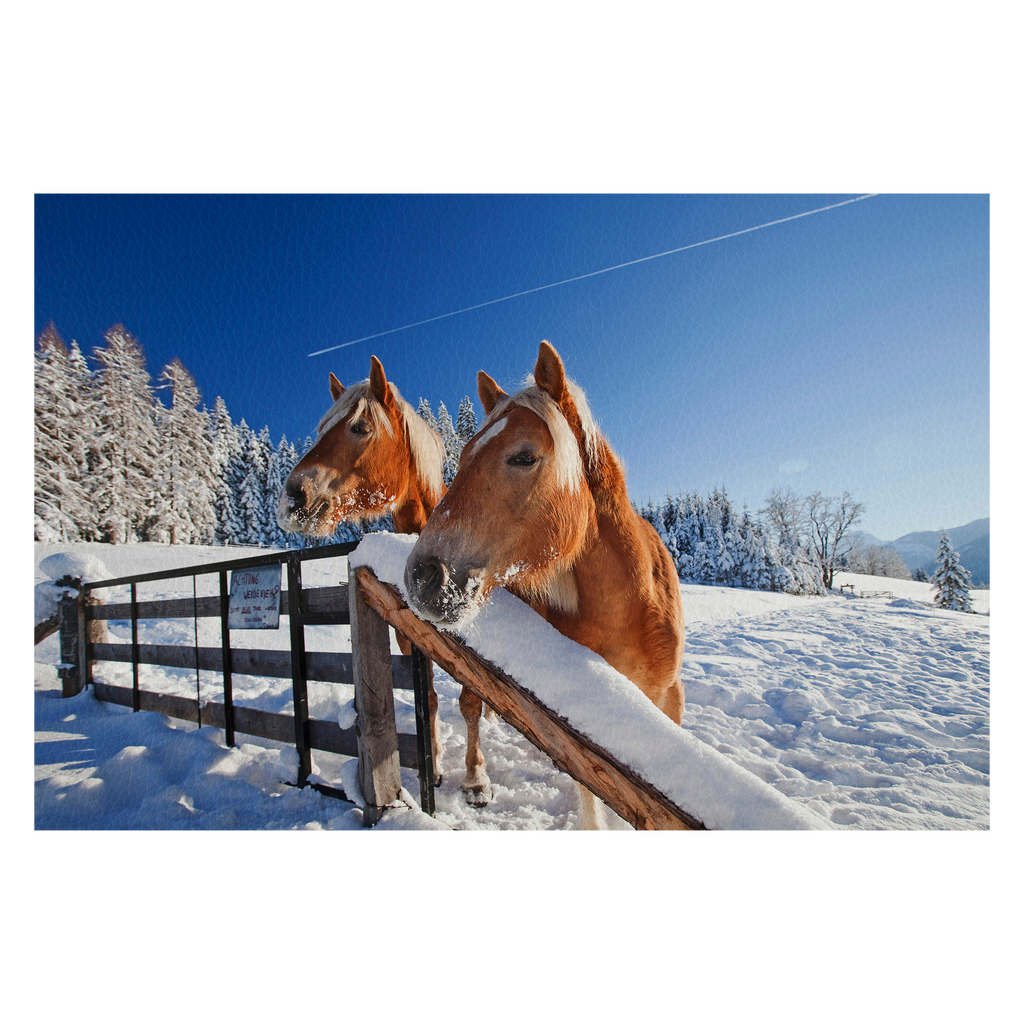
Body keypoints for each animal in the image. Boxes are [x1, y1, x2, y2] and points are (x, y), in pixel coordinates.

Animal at [403, 339, 684, 827]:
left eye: (524, 456)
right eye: (464, 455)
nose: (422, 575)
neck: (632, 610)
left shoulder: (668, 703)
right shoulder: (585, 735)